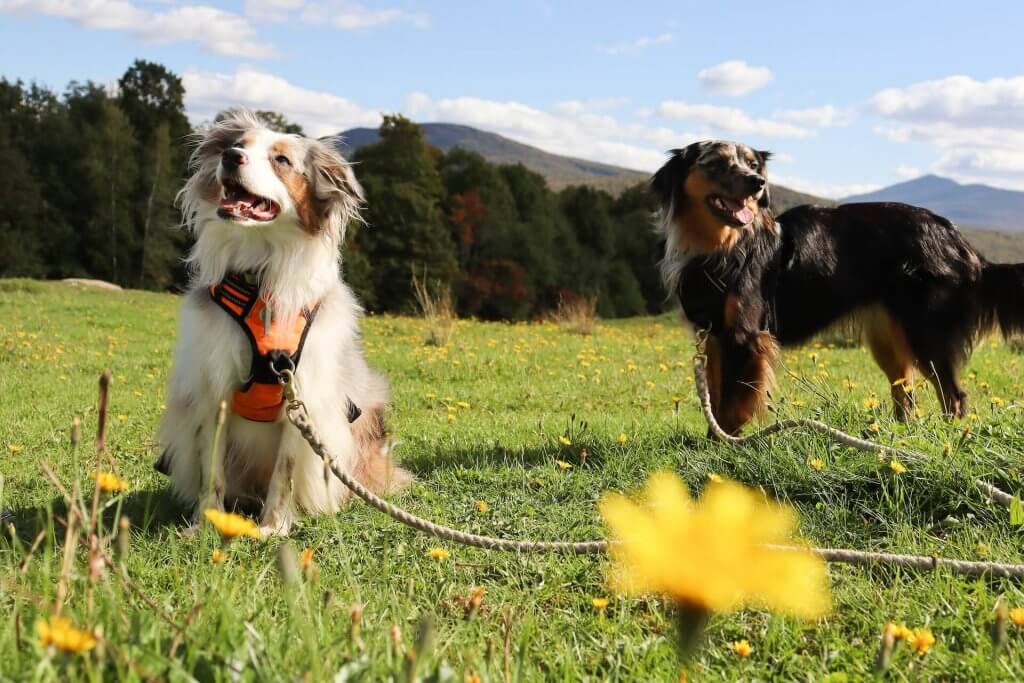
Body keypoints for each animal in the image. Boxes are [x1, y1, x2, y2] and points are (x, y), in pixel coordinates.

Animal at [155, 109, 407, 536]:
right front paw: (207, 524)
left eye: (282, 160)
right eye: (234, 146)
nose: (231, 158)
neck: (260, 277)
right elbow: (211, 468)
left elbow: (285, 472)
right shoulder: (212, 388)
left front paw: (272, 527)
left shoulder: (303, 395)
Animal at [651, 141, 1024, 436]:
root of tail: (960, 241)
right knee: (906, 392)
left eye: (753, 164)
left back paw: (947, 439)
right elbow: (714, 397)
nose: (758, 183)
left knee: (953, 395)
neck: (721, 247)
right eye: (715, 162)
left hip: (925, 330)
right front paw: (712, 443)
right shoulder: (714, 336)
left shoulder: (745, 336)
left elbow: (730, 405)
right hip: (887, 336)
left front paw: (726, 447)